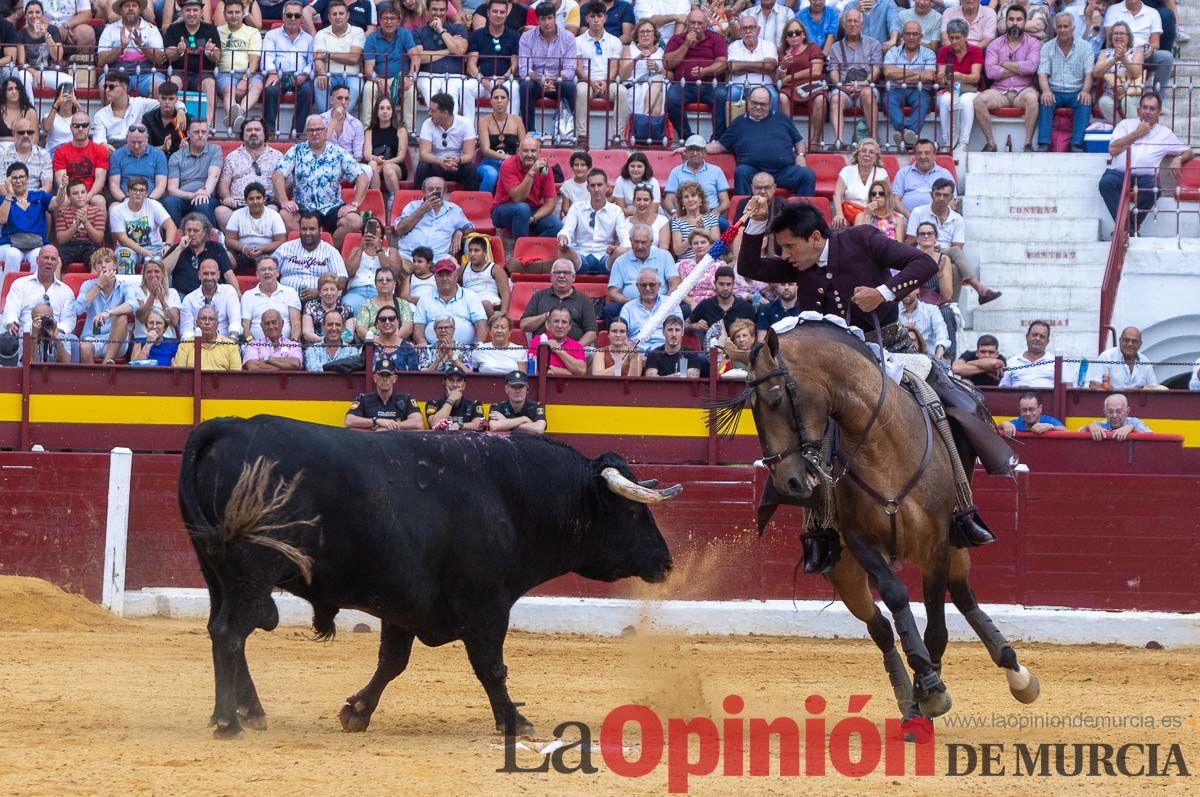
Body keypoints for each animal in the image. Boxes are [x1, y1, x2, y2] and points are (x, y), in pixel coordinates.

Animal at [181, 412, 681, 739]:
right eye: (632, 511)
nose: (665, 561)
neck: (510, 496)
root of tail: (231, 424)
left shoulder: (400, 604)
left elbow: (392, 662)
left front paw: (357, 711)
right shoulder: (487, 605)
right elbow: (491, 666)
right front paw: (515, 722)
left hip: (218, 575)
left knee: (222, 631)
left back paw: (249, 712)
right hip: (253, 575)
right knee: (229, 632)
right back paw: (228, 722)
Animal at [710, 321, 1041, 729]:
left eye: (775, 398)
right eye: (750, 406)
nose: (789, 481)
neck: (882, 444)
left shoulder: (935, 546)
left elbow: (936, 627)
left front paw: (932, 691)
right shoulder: (860, 542)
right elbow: (896, 595)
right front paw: (926, 688)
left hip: (956, 541)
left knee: (963, 596)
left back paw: (1016, 673)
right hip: (843, 570)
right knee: (880, 626)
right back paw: (910, 701)